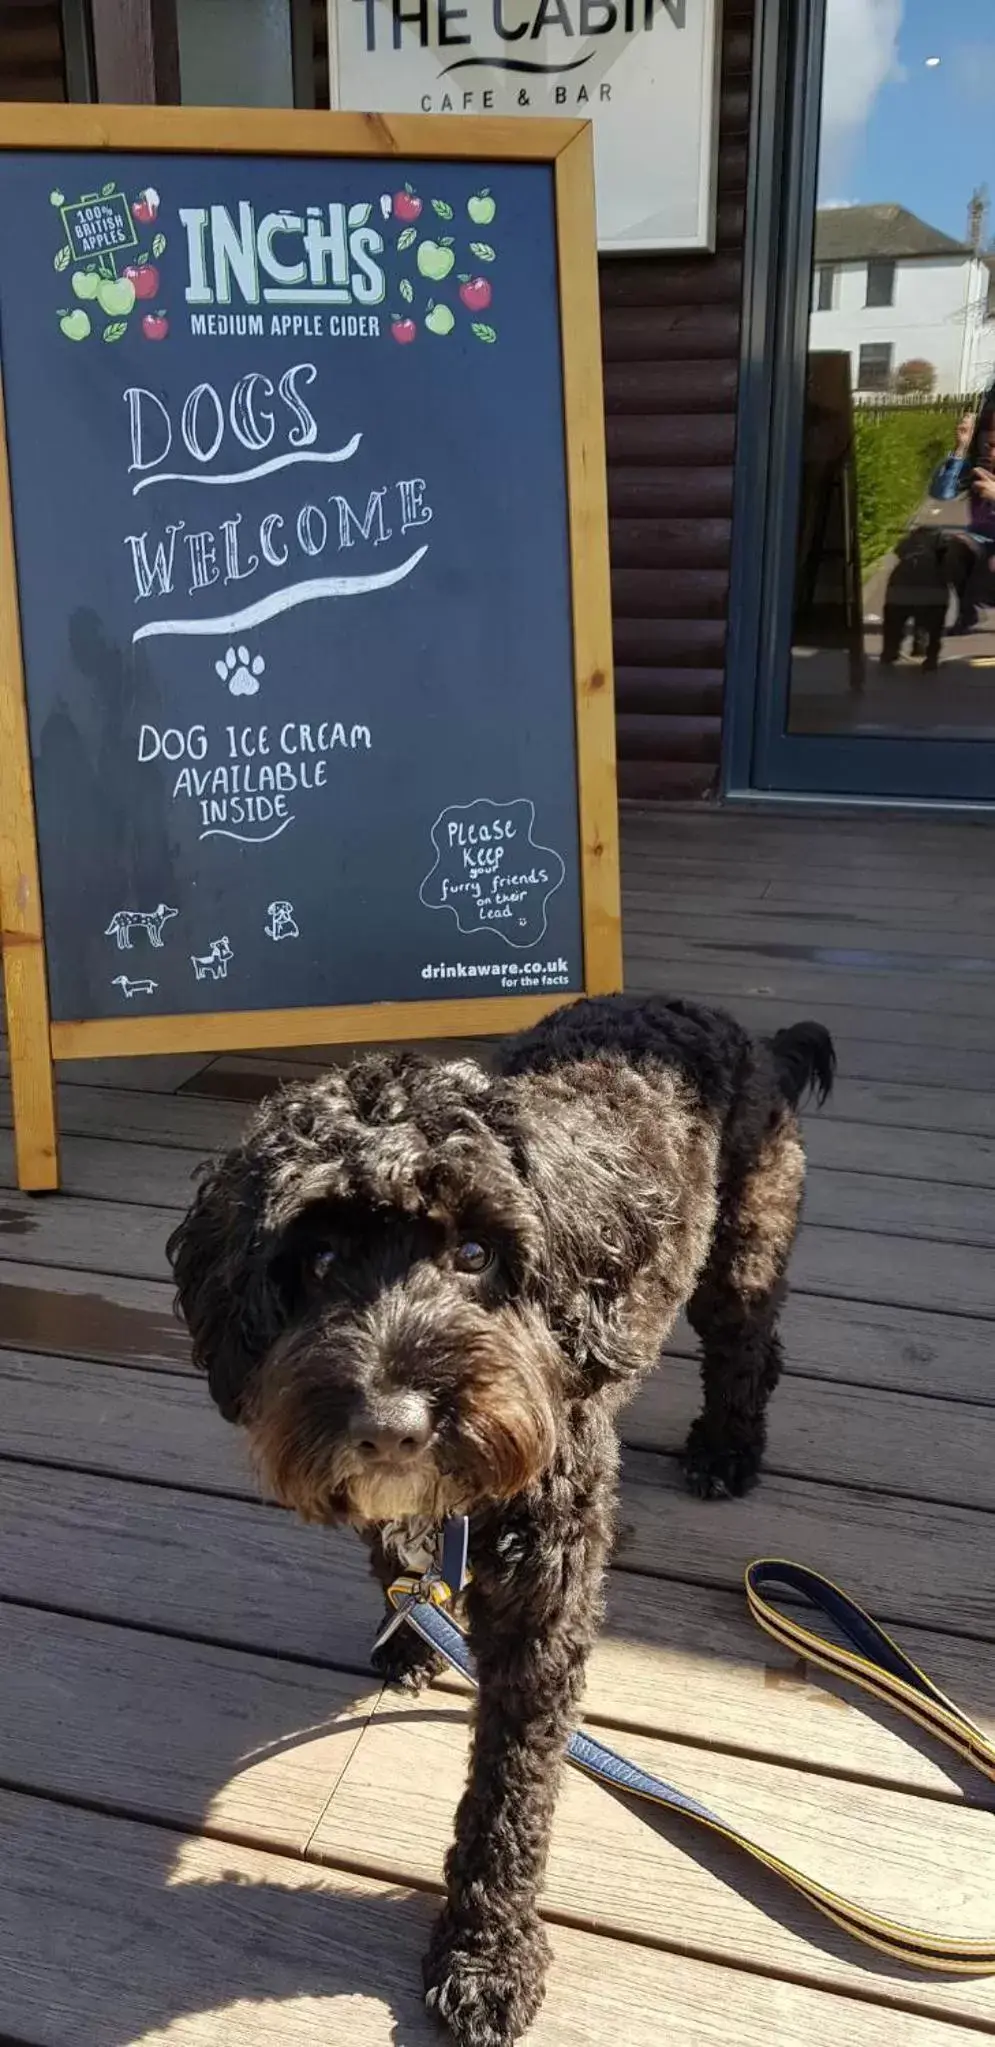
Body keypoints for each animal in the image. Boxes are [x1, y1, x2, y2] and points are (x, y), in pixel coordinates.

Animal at [168, 994, 831, 2046]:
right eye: (315, 1260)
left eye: (476, 1253)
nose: (391, 1425)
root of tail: (732, 1023)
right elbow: (396, 1558)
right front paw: (411, 1628)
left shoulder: (542, 1605)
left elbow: (510, 1788)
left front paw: (487, 1954)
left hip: (746, 1244)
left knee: (746, 1340)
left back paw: (726, 1448)